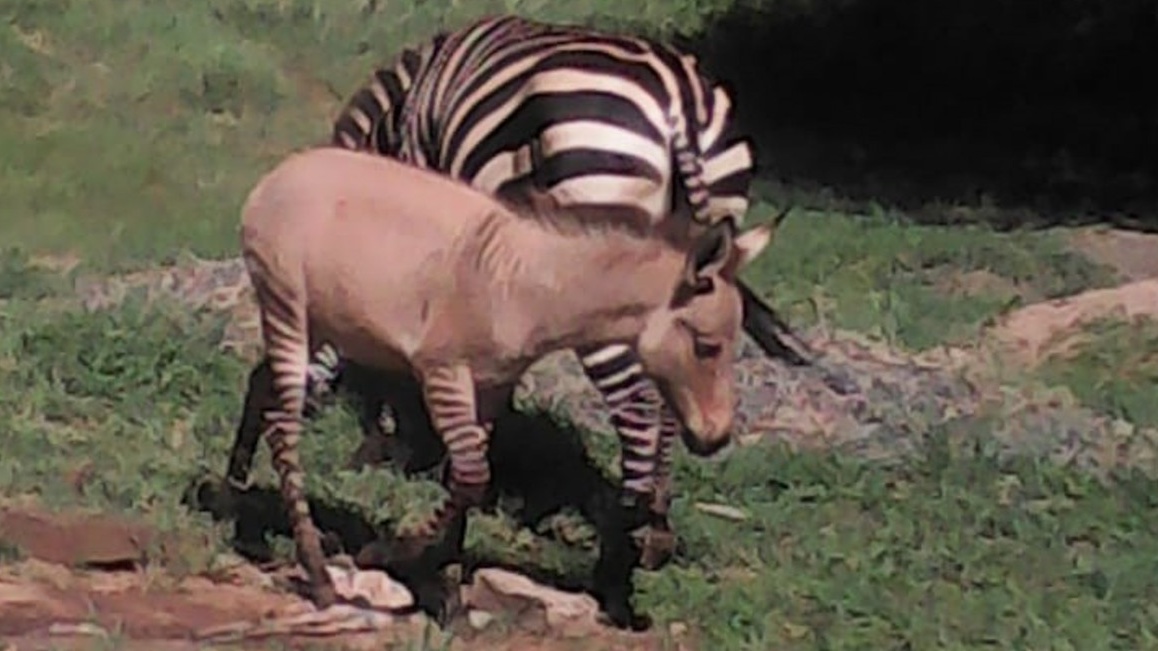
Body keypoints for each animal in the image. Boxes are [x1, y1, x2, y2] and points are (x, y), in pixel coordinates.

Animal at [225, 12, 808, 585]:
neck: (399, 111)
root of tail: (679, 100)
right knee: (662, 400)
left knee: (637, 404)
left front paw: (395, 445)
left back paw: (617, 552)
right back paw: (653, 530)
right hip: (712, 206)